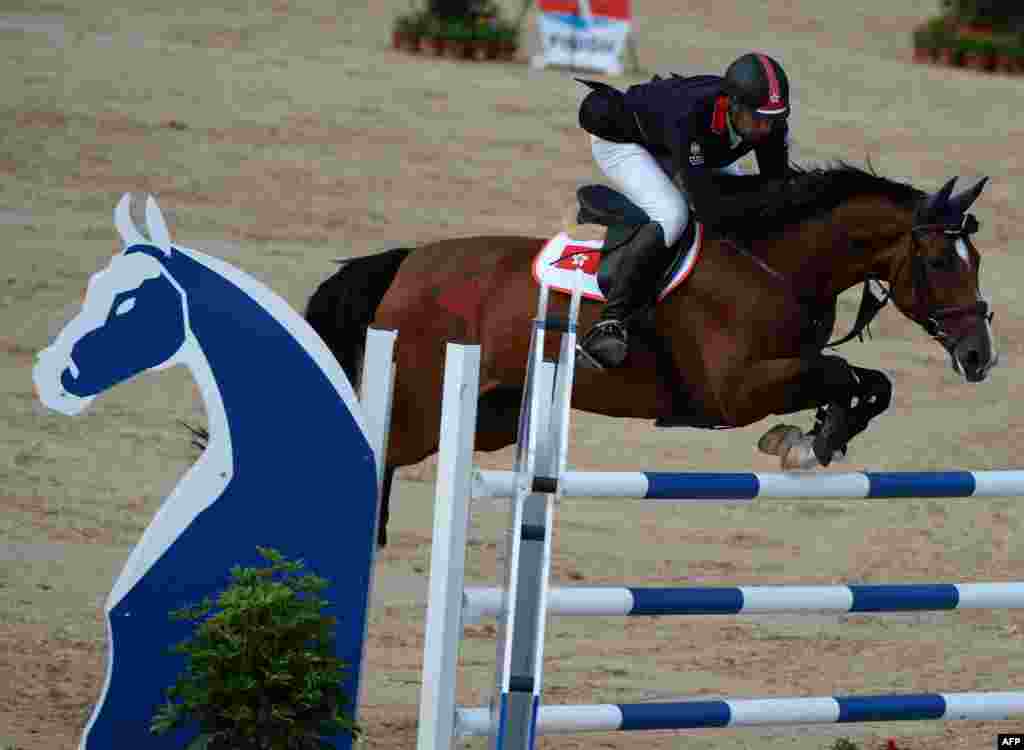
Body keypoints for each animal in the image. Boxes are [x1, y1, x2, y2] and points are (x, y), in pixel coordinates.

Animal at [301, 163, 991, 545]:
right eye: (937, 261)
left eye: (976, 258)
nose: (980, 356)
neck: (773, 266)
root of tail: (407, 263)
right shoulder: (735, 392)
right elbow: (841, 371)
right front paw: (808, 439)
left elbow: (869, 381)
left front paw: (817, 436)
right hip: (420, 405)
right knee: (379, 453)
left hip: (490, 416)